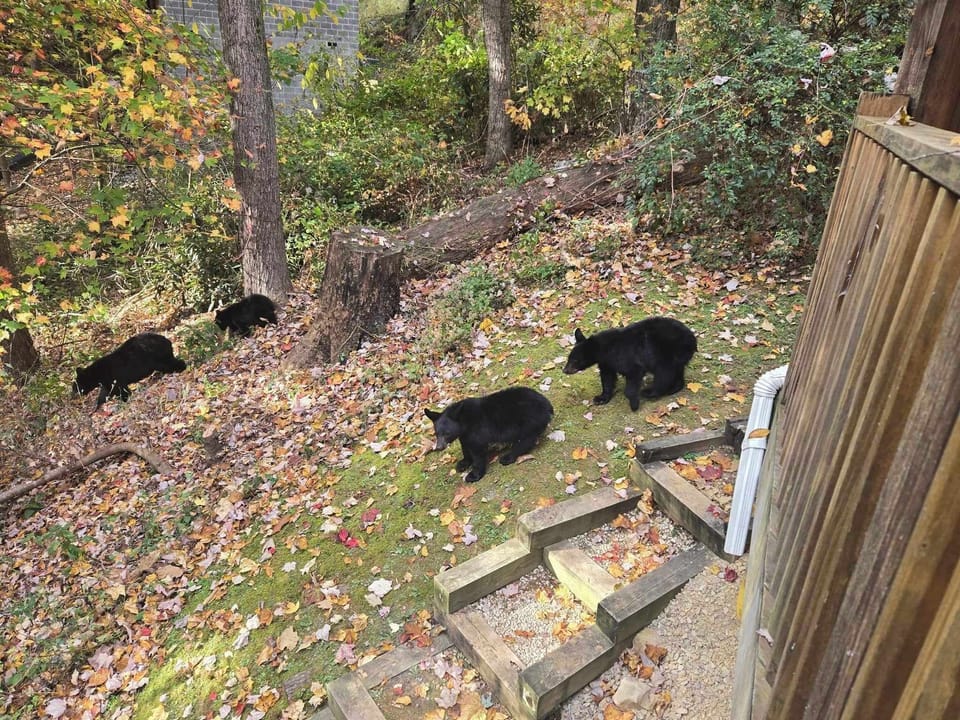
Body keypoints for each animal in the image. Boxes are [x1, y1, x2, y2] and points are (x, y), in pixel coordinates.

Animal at [424, 386, 554, 483]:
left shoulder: (477, 430)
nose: (439, 447)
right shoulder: (464, 435)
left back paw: (508, 457)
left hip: (526, 421)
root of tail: (547, 405)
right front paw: (463, 463)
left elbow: (477, 452)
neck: (464, 421)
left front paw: (473, 475)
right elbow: (465, 446)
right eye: (436, 433)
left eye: (447, 433)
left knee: (526, 439)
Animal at [563, 316, 697, 411]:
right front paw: (601, 398)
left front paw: (634, 404)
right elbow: (607, 378)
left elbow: (633, 374)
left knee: (664, 373)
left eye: (575, 360)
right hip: (677, 356)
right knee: (677, 371)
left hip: (666, 353)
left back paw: (650, 392)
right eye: (568, 358)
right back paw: (674, 388)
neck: (605, 350)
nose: (565, 370)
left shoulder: (626, 357)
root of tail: (693, 339)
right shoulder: (606, 363)